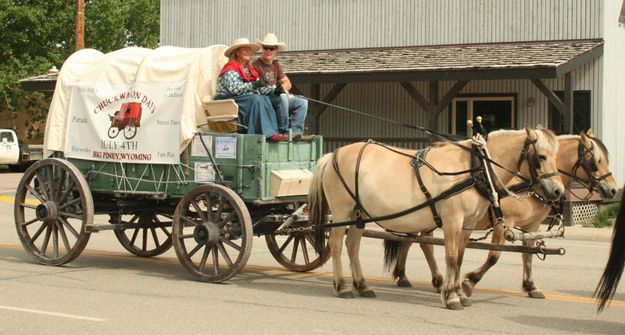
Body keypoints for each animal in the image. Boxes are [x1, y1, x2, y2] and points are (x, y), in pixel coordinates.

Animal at [310, 128, 564, 310]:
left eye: (556, 156)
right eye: (541, 157)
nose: (558, 191)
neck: (474, 168)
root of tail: (332, 155)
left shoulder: (467, 224)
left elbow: (459, 258)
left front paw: (459, 291)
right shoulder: (453, 220)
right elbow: (451, 257)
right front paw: (451, 296)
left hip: (359, 214)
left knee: (352, 245)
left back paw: (362, 286)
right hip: (342, 211)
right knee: (336, 244)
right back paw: (342, 286)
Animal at [382, 130, 616, 300]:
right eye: (596, 161)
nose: (613, 189)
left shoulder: (532, 226)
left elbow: (527, 255)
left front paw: (531, 286)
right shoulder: (503, 223)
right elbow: (494, 255)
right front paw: (469, 282)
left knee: (414, 241)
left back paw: (407, 275)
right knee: (421, 243)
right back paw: (433, 279)